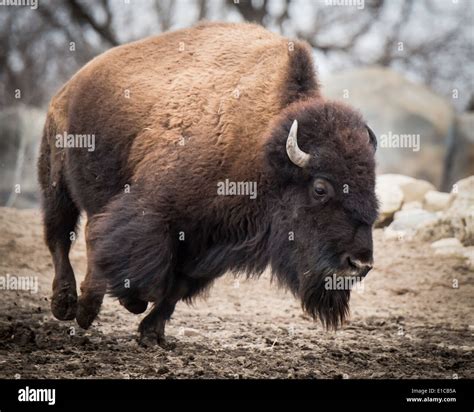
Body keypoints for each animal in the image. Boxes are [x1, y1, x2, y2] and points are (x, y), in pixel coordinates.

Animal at [38, 21, 378, 348]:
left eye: (372, 187)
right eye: (320, 188)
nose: (359, 263)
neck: (260, 147)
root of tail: (68, 88)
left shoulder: (209, 245)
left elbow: (176, 288)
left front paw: (152, 334)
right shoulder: (153, 211)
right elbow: (143, 272)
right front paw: (131, 305)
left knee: (87, 233)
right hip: (56, 183)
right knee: (63, 237)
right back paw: (68, 306)